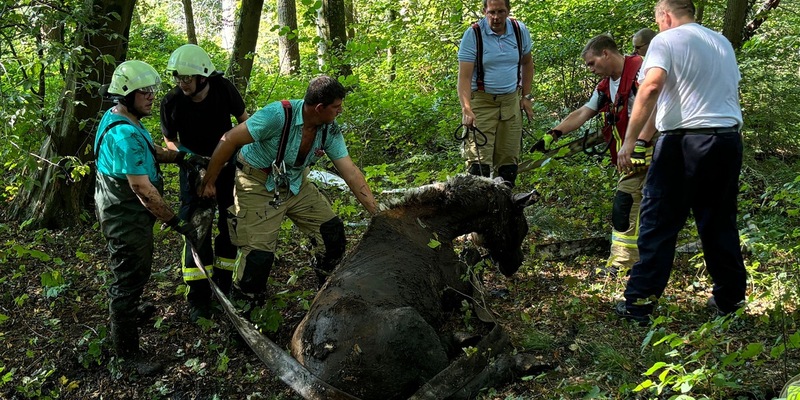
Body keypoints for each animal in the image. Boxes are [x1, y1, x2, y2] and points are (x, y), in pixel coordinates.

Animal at [290, 174, 538, 399]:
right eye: (521, 224)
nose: (515, 264)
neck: (440, 223)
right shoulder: (455, 289)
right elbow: (474, 264)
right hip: (410, 320)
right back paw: (517, 361)